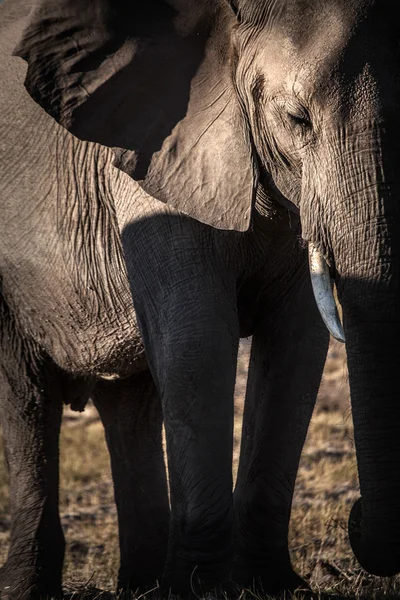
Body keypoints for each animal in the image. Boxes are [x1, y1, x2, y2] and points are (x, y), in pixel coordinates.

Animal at [0, 0, 398, 596]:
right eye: (297, 119)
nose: (353, 520)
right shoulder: (157, 150)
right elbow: (198, 341)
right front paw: (196, 590)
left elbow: (294, 350)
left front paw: (272, 586)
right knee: (27, 397)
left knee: (130, 401)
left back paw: (141, 585)